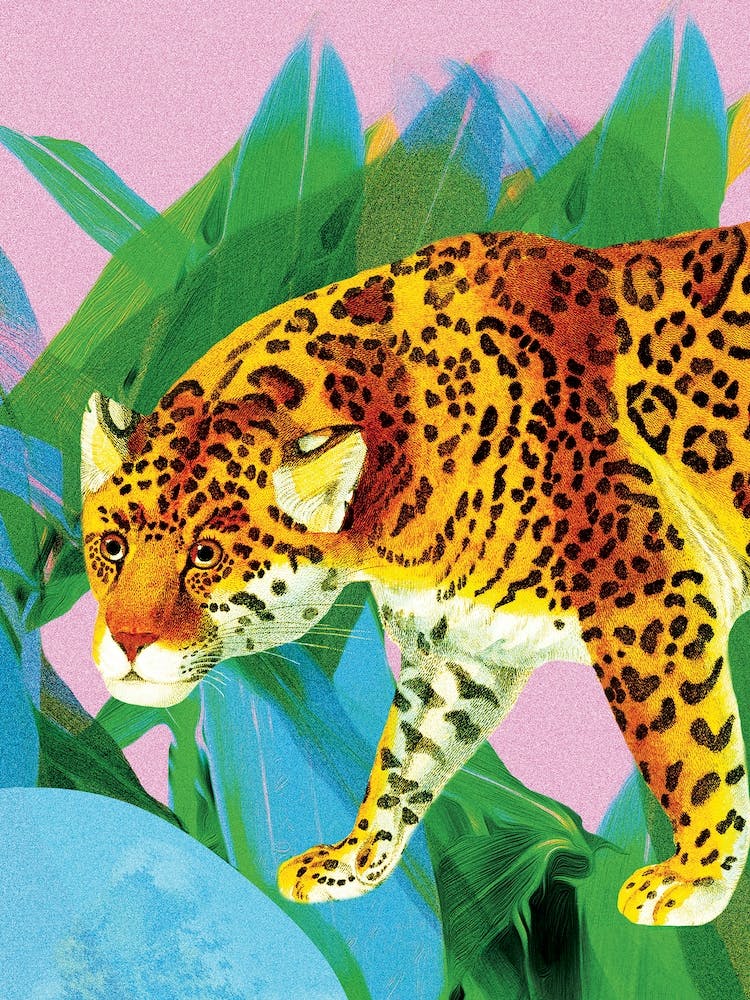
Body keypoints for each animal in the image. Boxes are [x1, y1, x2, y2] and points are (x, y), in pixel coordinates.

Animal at [81, 223, 750, 927]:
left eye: (206, 556)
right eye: (113, 547)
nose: (127, 643)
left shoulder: (647, 598)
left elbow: (689, 750)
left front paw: (696, 877)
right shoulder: (465, 643)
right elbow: (405, 758)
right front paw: (352, 861)